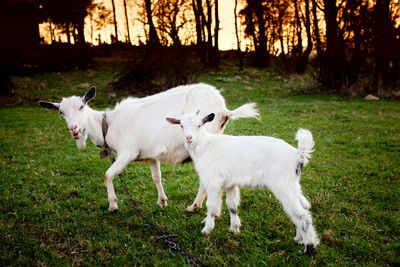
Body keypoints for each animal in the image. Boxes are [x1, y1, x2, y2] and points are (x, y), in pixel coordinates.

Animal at [38, 84, 260, 214]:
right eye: (61, 112)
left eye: (82, 107)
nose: (74, 129)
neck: (106, 125)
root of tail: (223, 110)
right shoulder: (152, 154)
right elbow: (156, 177)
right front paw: (162, 201)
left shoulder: (128, 152)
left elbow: (108, 175)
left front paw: (113, 205)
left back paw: (195, 206)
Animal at [167, 112, 320, 254]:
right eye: (181, 126)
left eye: (199, 125)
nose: (189, 138)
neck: (205, 147)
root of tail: (298, 155)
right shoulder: (229, 183)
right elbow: (232, 205)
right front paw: (234, 228)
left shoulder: (213, 182)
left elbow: (211, 205)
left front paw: (207, 229)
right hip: (293, 184)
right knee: (304, 207)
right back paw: (299, 239)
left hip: (283, 184)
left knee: (301, 214)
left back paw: (309, 248)